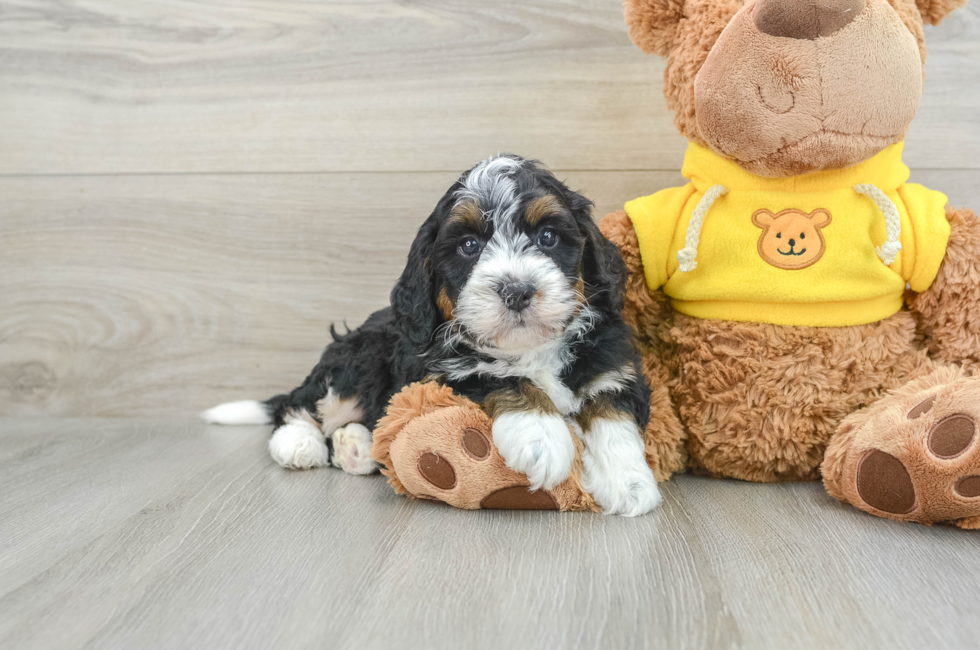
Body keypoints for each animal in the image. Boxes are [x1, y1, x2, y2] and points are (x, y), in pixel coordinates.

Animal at [203, 154, 664, 512]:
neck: (530, 349)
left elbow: (612, 415)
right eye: (469, 246)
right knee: (303, 404)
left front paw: (629, 482)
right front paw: (541, 436)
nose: (516, 290)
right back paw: (299, 443)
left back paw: (357, 447)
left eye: (548, 236)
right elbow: (501, 376)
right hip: (359, 356)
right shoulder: (442, 371)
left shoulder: (612, 367)